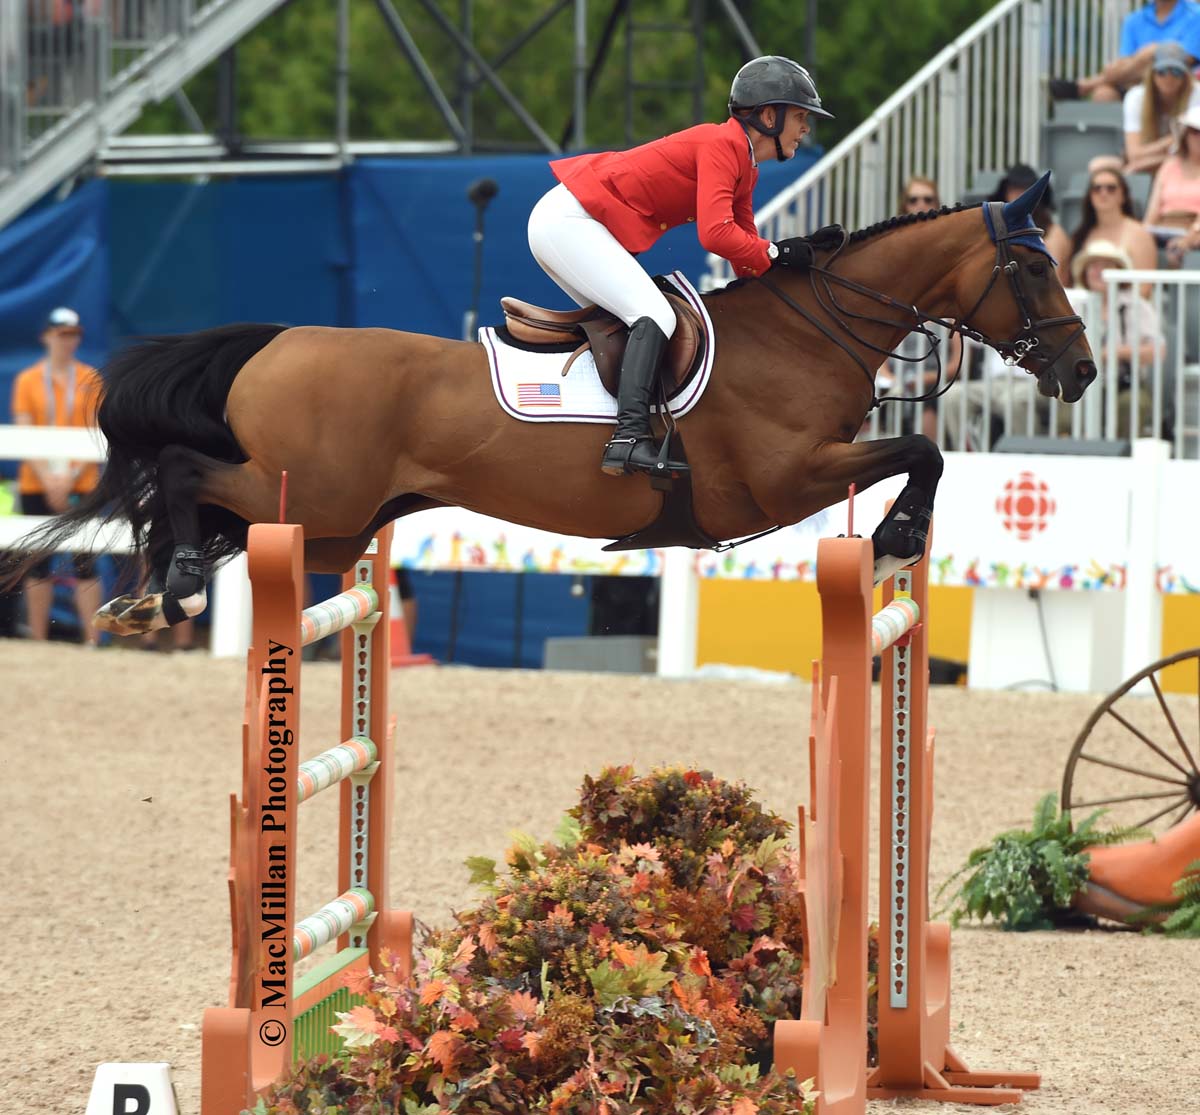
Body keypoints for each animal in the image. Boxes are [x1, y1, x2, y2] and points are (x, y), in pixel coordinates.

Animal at [4, 169, 1099, 628]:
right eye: (1033, 267)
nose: (1083, 372)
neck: (809, 325)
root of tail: (276, 342)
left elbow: (924, 454)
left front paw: (896, 540)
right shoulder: (785, 478)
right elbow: (923, 454)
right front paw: (893, 541)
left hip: (327, 520)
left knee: (193, 493)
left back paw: (157, 583)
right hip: (312, 493)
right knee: (182, 469)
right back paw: (178, 574)